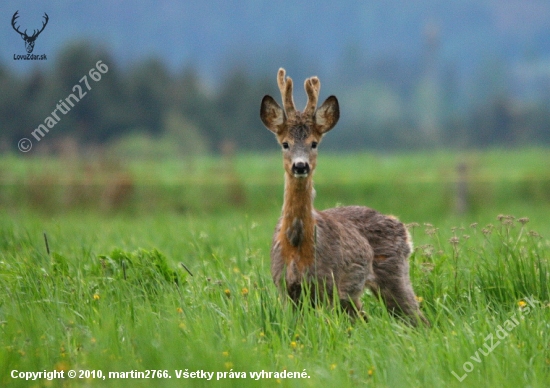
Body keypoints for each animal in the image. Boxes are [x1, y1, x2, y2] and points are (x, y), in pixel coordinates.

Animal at [260, 68, 430, 326]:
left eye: (314, 143)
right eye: (285, 144)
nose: (300, 166)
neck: (297, 246)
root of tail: (401, 226)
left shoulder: (329, 285)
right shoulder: (285, 288)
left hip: (393, 273)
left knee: (418, 317)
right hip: (353, 296)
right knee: (366, 318)